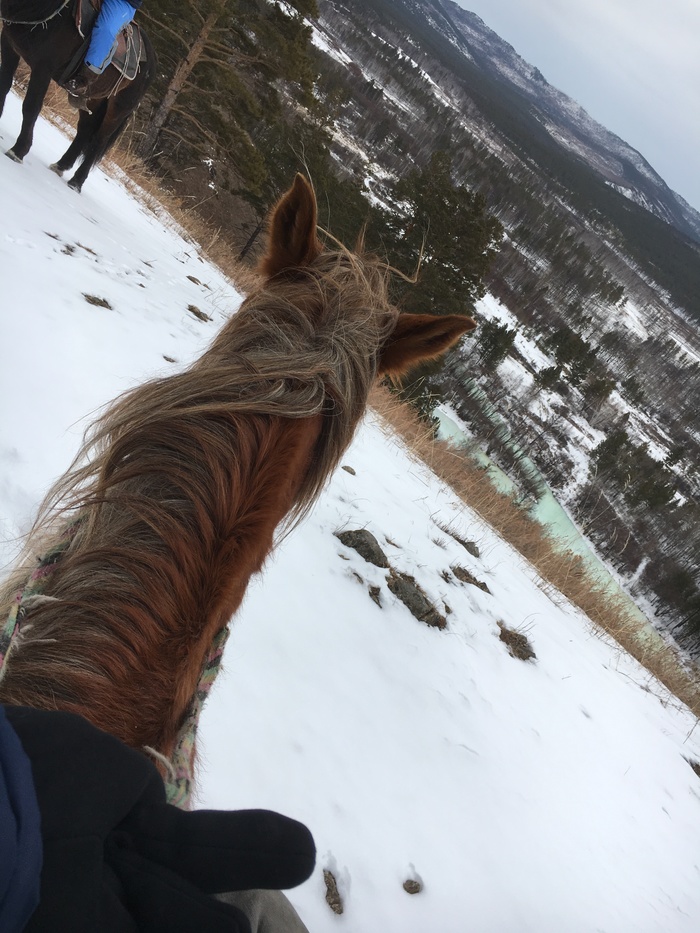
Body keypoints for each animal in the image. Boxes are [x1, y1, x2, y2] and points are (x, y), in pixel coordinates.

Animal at [0, 0, 154, 190]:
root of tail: (151, 61)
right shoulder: (9, 46)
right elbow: (4, 86)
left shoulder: (43, 69)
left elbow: (31, 107)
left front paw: (18, 151)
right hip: (93, 99)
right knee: (84, 131)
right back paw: (61, 165)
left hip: (117, 110)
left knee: (98, 142)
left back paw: (76, 182)